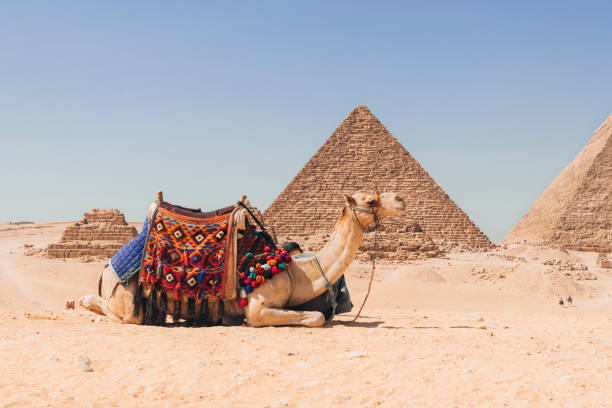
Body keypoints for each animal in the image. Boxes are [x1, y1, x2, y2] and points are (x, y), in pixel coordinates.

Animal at [80, 192, 406, 328]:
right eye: (370, 200)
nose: (401, 200)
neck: (296, 271)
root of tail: (107, 267)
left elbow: (319, 315)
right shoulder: (258, 308)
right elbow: (316, 318)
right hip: (126, 300)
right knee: (110, 309)